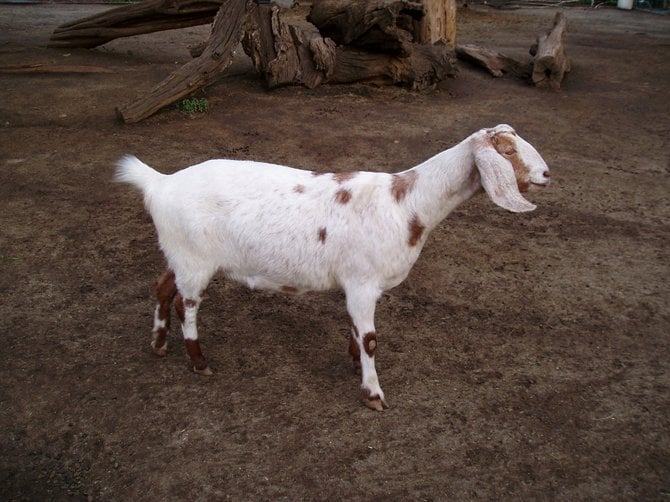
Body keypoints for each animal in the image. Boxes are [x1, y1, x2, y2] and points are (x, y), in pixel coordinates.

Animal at [117, 123, 552, 410]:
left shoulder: (359, 286)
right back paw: (199, 362)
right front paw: (373, 394)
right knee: (185, 305)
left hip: (178, 252)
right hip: (195, 259)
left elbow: (359, 334)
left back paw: (159, 343)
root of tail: (160, 183)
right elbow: (372, 339)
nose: (547, 173)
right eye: (507, 151)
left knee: (162, 287)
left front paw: (354, 360)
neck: (407, 204)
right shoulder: (362, 282)